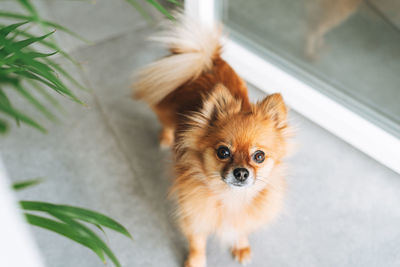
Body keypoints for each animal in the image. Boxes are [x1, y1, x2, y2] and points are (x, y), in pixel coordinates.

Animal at [134, 15, 290, 267]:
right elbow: (197, 244)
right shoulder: (194, 216)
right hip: (164, 107)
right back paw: (166, 138)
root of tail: (207, 59)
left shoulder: (243, 217)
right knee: (166, 122)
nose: (241, 172)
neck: (231, 198)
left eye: (259, 156)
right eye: (223, 152)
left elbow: (240, 229)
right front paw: (195, 262)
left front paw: (241, 246)